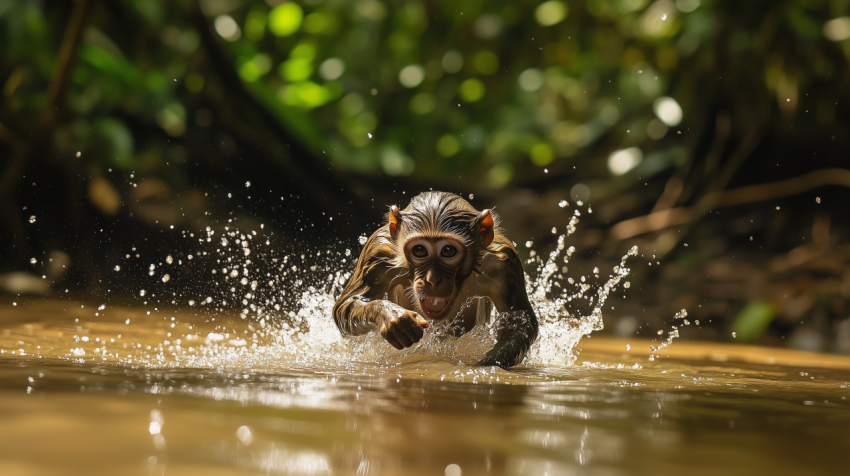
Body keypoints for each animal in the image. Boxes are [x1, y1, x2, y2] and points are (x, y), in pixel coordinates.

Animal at [332, 191, 536, 368]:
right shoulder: (377, 251)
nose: (432, 279)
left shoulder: (504, 262)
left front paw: (490, 362)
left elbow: (519, 322)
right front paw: (392, 316)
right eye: (419, 250)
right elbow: (345, 305)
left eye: (448, 251)